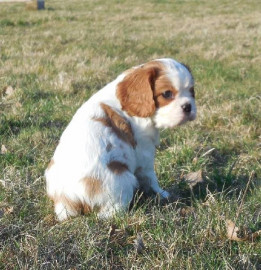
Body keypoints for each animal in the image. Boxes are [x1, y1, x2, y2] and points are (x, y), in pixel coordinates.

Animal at [44, 58, 195, 220]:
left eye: (192, 91)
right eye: (167, 94)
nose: (188, 107)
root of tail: (67, 200)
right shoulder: (144, 152)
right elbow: (150, 177)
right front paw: (162, 194)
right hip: (123, 179)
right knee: (108, 213)